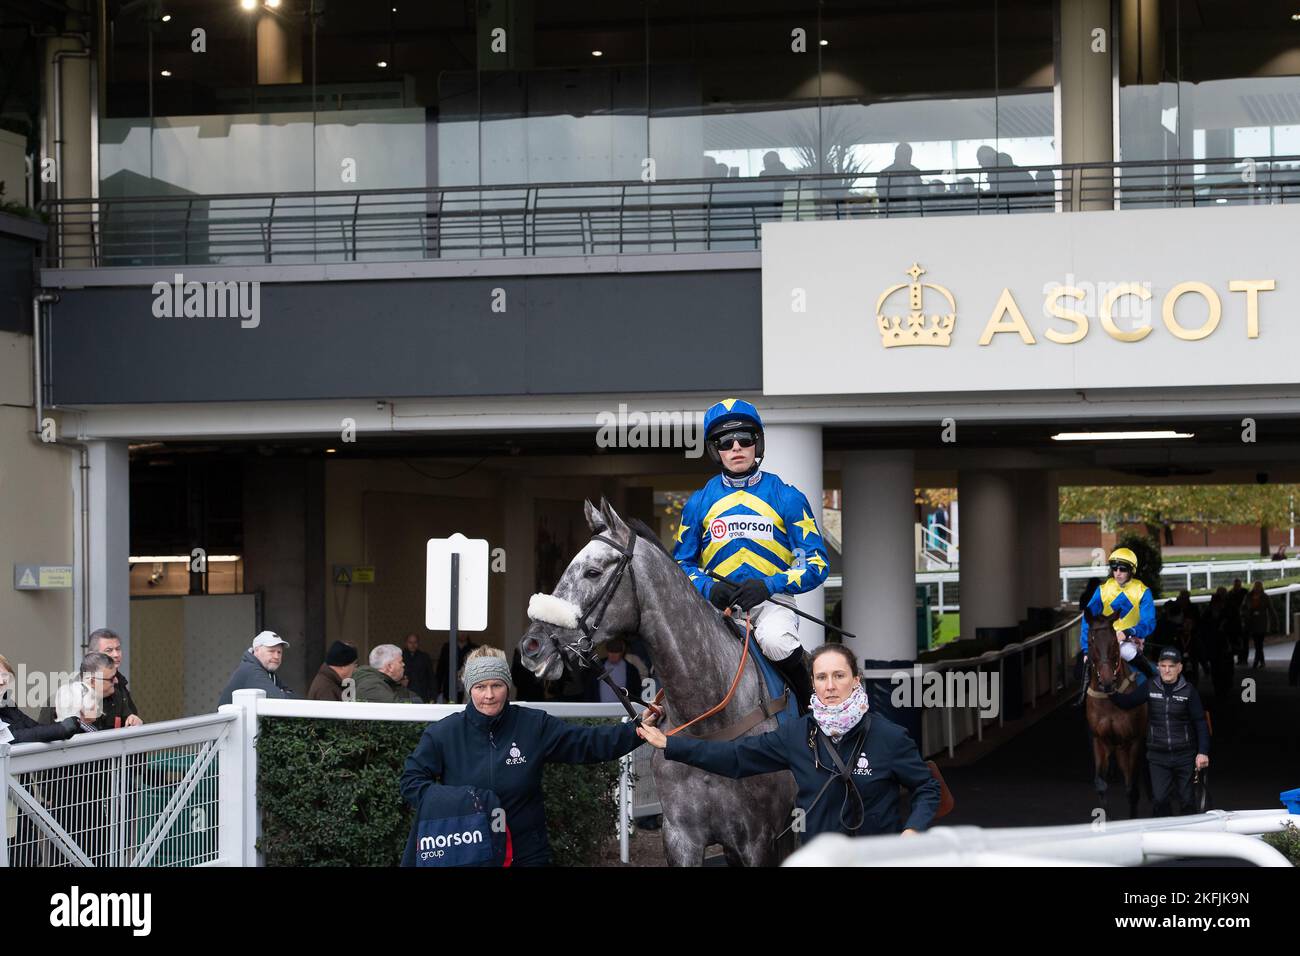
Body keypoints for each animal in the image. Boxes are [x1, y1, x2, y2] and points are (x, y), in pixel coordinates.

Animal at [1086, 608, 1149, 816]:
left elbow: (1132, 790)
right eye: (1091, 641)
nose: (1106, 682)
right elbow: (1100, 784)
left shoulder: (1133, 742)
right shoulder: (1099, 740)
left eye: (1114, 640)